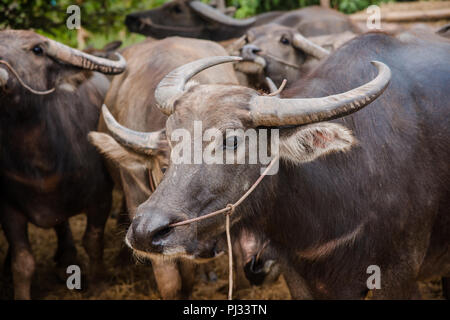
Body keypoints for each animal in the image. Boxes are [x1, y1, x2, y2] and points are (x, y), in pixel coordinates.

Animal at [0, 30, 125, 300]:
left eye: (37, 50)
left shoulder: (101, 199)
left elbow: (92, 242)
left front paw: (99, 285)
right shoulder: (9, 209)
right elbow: (23, 262)